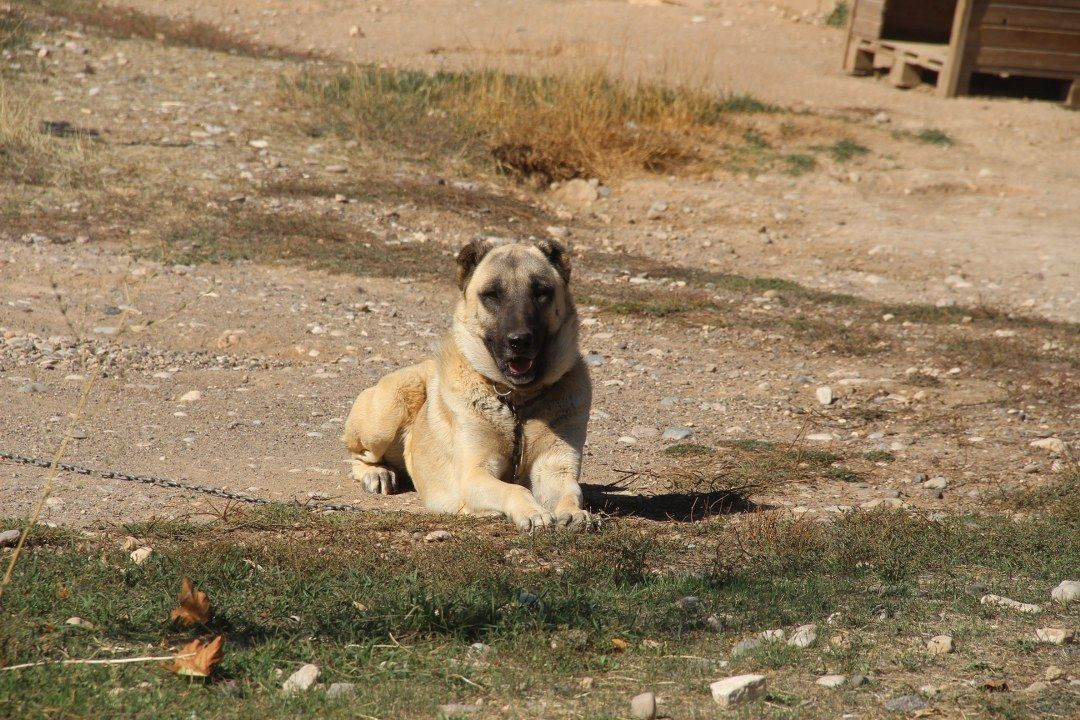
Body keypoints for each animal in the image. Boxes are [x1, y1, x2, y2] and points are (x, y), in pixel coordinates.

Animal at [343, 237, 591, 528]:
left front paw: (574, 513)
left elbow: (572, 491)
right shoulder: (474, 475)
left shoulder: (555, 468)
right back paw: (377, 474)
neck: (516, 401)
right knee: (358, 455)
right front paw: (532, 511)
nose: (519, 340)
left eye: (541, 291)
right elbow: (515, 488)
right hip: (389, 410)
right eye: (492, 295)